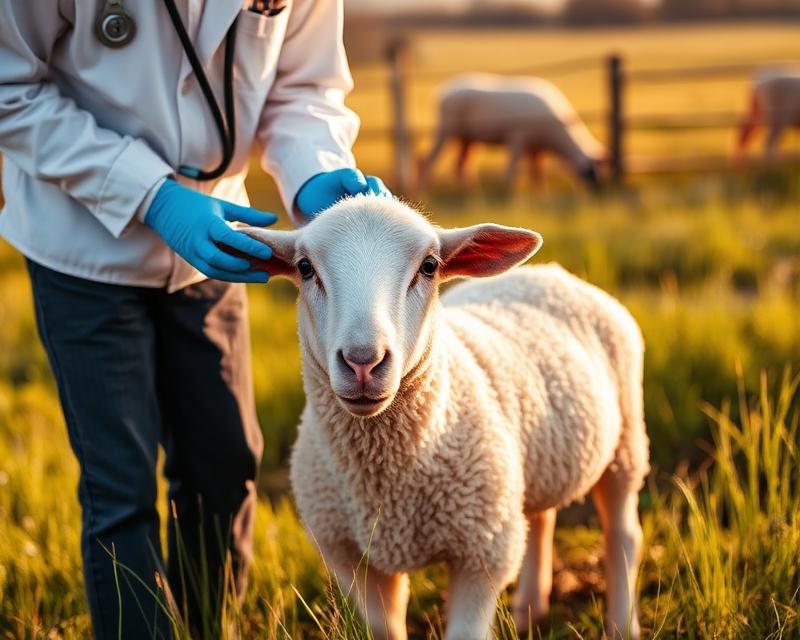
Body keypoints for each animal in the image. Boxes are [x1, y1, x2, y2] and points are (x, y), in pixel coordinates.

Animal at [242, 195, 649, 640]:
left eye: (429, 266)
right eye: (304, 267)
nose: (363, 361)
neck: (386, 482)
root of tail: (551, 272)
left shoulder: (482, 552)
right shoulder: (350, 558)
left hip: (626, 445)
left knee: (623, 534)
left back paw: (621, 624)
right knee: (540, 519)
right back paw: (529, 610)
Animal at [418, 73, 606, 191]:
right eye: (590, 171)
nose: (597, 190)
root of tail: (444, 91)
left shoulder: (535, 148)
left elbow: (537, 173)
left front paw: (541, 194)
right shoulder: (517, 137)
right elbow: (513, 168)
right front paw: (508, 191)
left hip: (467, 139)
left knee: (460, 165)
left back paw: (470, 191)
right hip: (446, 130)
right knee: (429, 160)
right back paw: (425, 187)